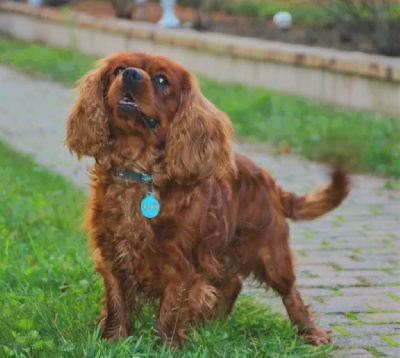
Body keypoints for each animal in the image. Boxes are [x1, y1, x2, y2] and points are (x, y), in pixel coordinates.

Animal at [65, 51, 350, 346]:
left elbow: (172, 310)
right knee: (231, 284)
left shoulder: (182, 263)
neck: (138, 172)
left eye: (162, 80)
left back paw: (311, 332)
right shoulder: (113, 255)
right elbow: (116, 304)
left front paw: (166, 346)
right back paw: (210, 323)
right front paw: (113, 341)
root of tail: (268, 180)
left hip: (272, 254)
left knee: (290, 292)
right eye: (118, 69)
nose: (131, 74)